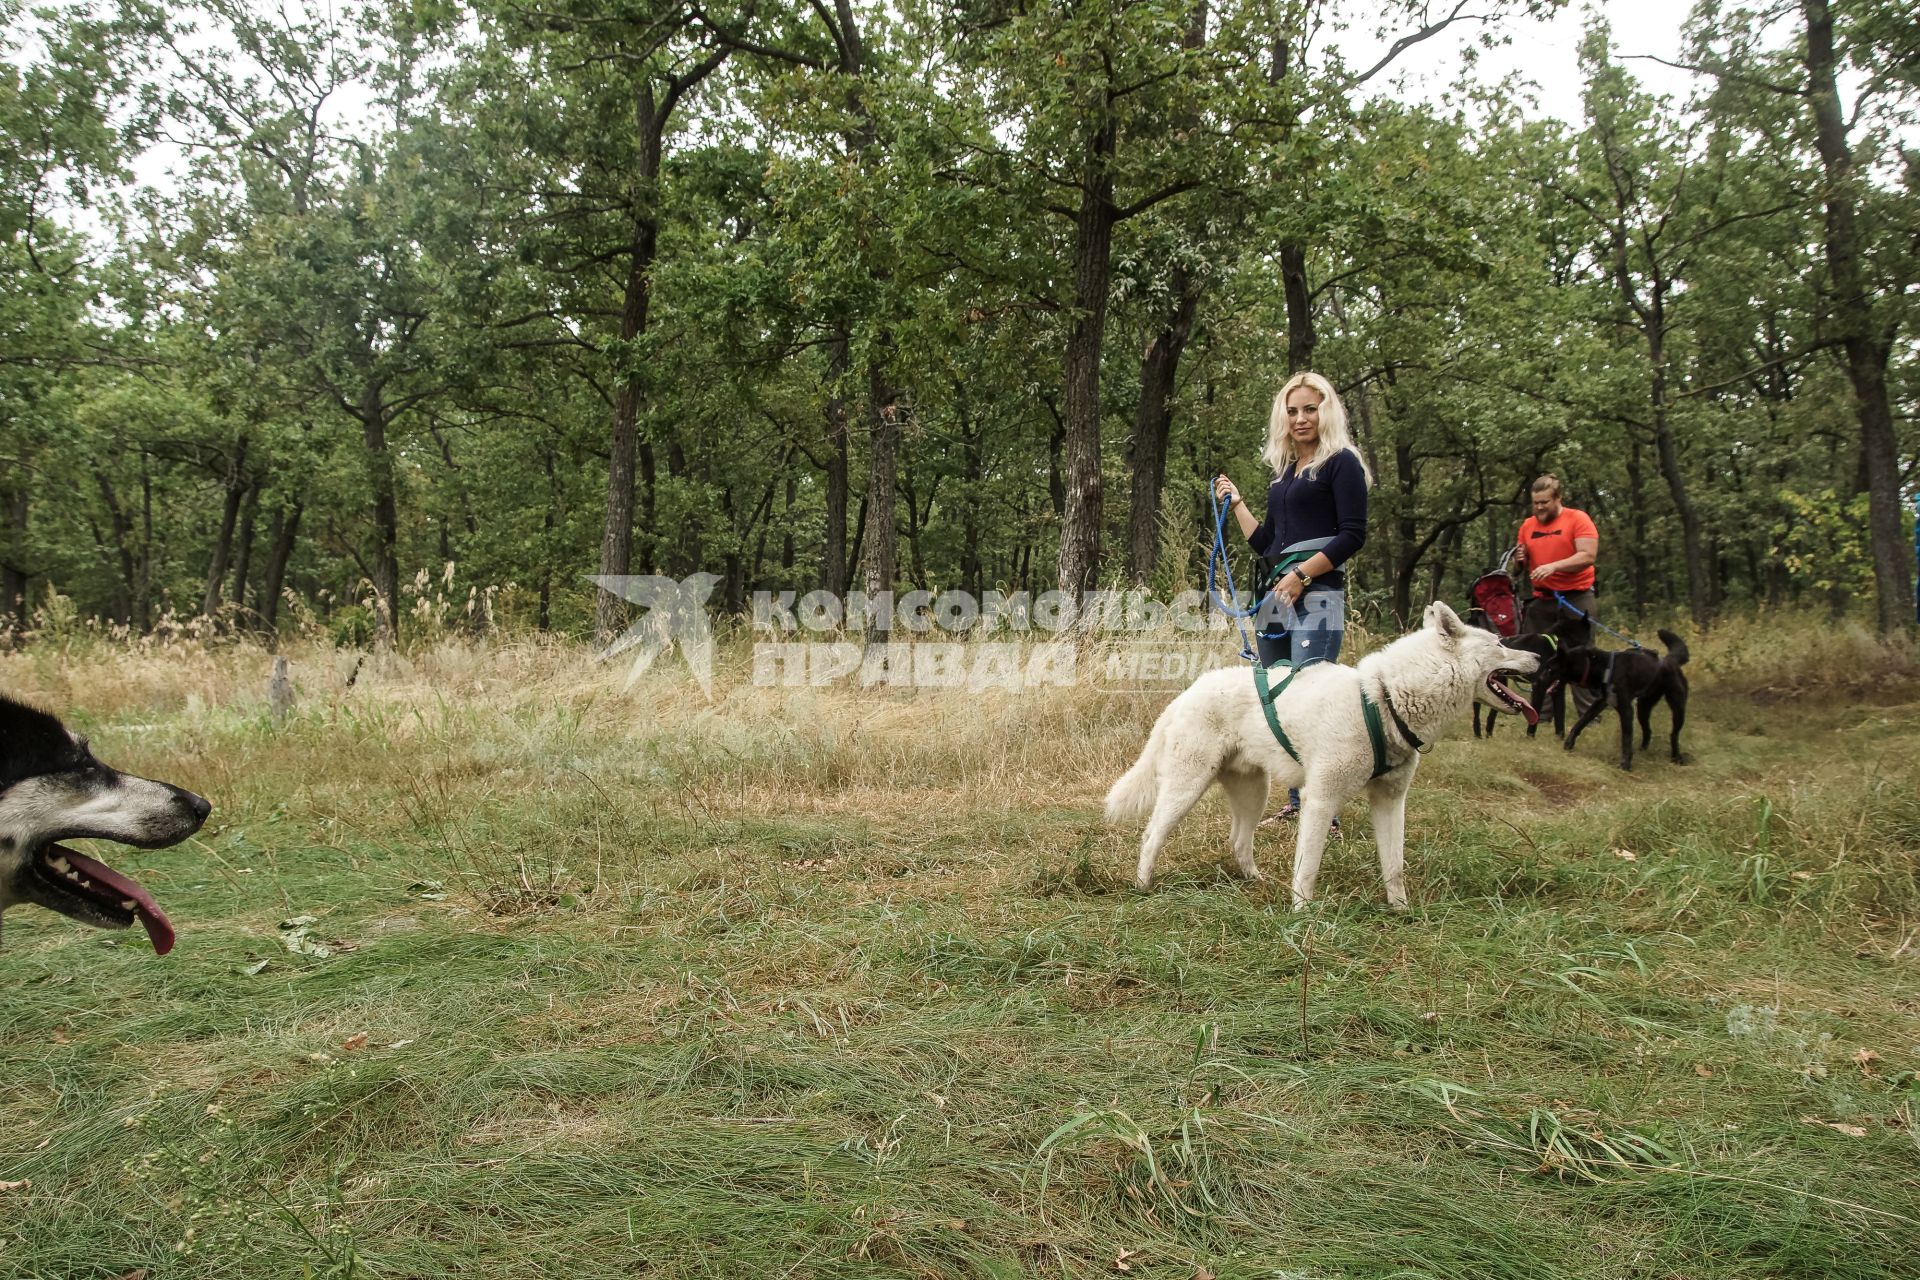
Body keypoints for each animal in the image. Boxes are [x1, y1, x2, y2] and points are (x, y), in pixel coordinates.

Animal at [1105, 606, 1536, 905]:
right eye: (1499, 644)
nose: (1538, 657)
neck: (1384, 699)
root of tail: (1186, 693)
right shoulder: (1320, 799)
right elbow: (1308, 868)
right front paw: (1302, 915)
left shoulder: (1391, 801)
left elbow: (1394, 866)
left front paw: (1401, 910)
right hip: (1187, 788)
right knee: (1152, 835)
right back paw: (1142, 885)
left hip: (1254, 793)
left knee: (1238, 840)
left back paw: (1255, 880)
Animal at [1543, 629, 1697, 771]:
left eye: (1549, 670)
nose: (1538, 678)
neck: (1598, 665)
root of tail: (1670, 660)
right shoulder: (1600, 702)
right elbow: (1580, 722)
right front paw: (1569, 744)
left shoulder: (1626, 710)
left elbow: (1626, 739)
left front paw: (1625, 765)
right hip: (1643, 708)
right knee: (1648, 731)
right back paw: (1642, 751)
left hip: (1677, 708)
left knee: (1674, 734)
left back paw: (1676, 758)